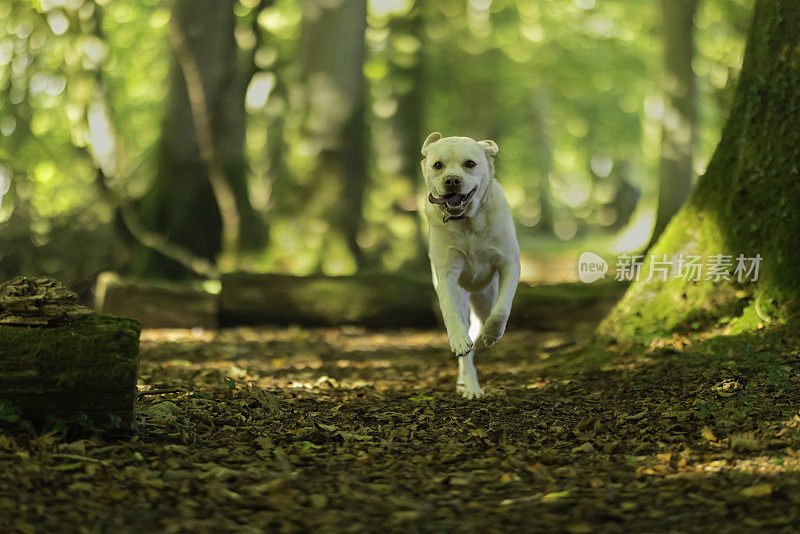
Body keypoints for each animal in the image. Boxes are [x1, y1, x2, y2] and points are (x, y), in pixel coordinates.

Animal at [422, 132, 520, 400]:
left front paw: (492, 333)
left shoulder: (509, 264)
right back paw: (470, 384)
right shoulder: (445, 275)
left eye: (470, 163)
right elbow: (449, 310)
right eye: (438, 165)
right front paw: (457, 339)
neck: (467, 223)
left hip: (485, 298)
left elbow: (502, 309)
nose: (452, 180)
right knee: (467, 345)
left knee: (480, 328)